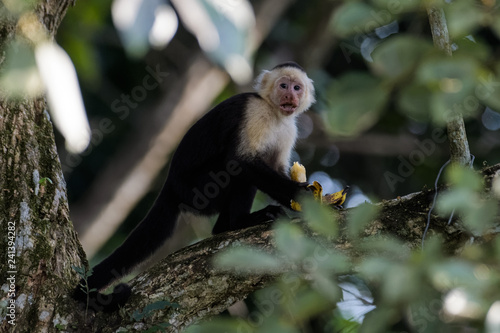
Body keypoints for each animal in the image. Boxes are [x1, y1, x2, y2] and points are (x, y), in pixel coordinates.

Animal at [73, 61, 316, 312]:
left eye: (297, 87)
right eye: (284, 85)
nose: (290, 95)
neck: (275, 113)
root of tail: (170, 185)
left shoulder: (289, 129)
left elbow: (275, 167)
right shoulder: (254, 111)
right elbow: (240, 162)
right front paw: (303, 195)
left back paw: (227, 227)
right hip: (198, 190)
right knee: (235, 173)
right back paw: (238, 223)